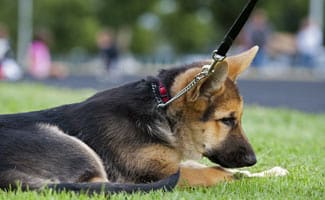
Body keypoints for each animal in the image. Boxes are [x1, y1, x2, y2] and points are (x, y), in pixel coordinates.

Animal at [0, 46, 260, 193]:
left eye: (238, 118)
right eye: (227, 120)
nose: (253, 160)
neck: (162, 111)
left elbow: (212, 167)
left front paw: (260, 174)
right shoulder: (159, 172)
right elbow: (215, 172)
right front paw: (236, 176)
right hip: (72, 145)